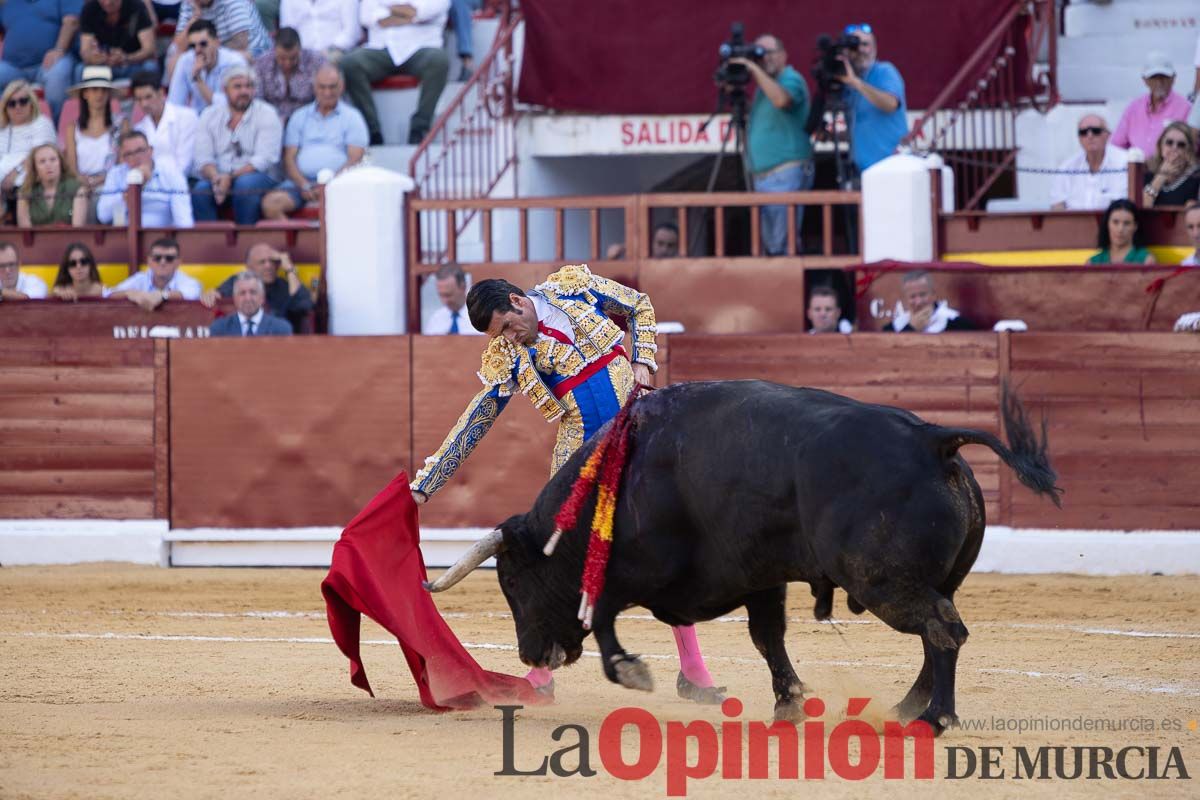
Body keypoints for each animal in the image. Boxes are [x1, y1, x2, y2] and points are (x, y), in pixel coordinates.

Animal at [424, 381, 1060, 734]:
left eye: (512, 582)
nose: (532, 653)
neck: (619, 479)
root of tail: (932, 439)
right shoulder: (760, 578)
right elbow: (767, 638)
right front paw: (789, 704)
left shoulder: (645, 574)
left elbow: (601, 615)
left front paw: (633, 672)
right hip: (927, 581)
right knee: (938, 633)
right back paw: (905, 709)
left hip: (884, 582)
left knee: (942, 631)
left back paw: (934, 719)